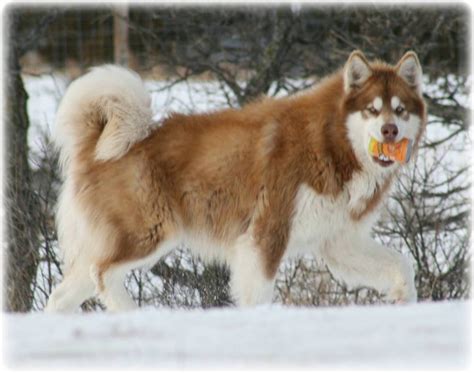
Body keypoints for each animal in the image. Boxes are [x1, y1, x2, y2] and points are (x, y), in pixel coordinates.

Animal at [46, 49, 428, 310]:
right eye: (372, 110)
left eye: (400, 110)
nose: (389, 130)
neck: (332, 144)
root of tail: (97, 144)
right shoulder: (266, 236)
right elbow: (258, 296)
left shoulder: (338, 242)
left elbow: (402, 265)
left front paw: (404, 300)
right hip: (149, 235)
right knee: (103, 273)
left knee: (63, 294)